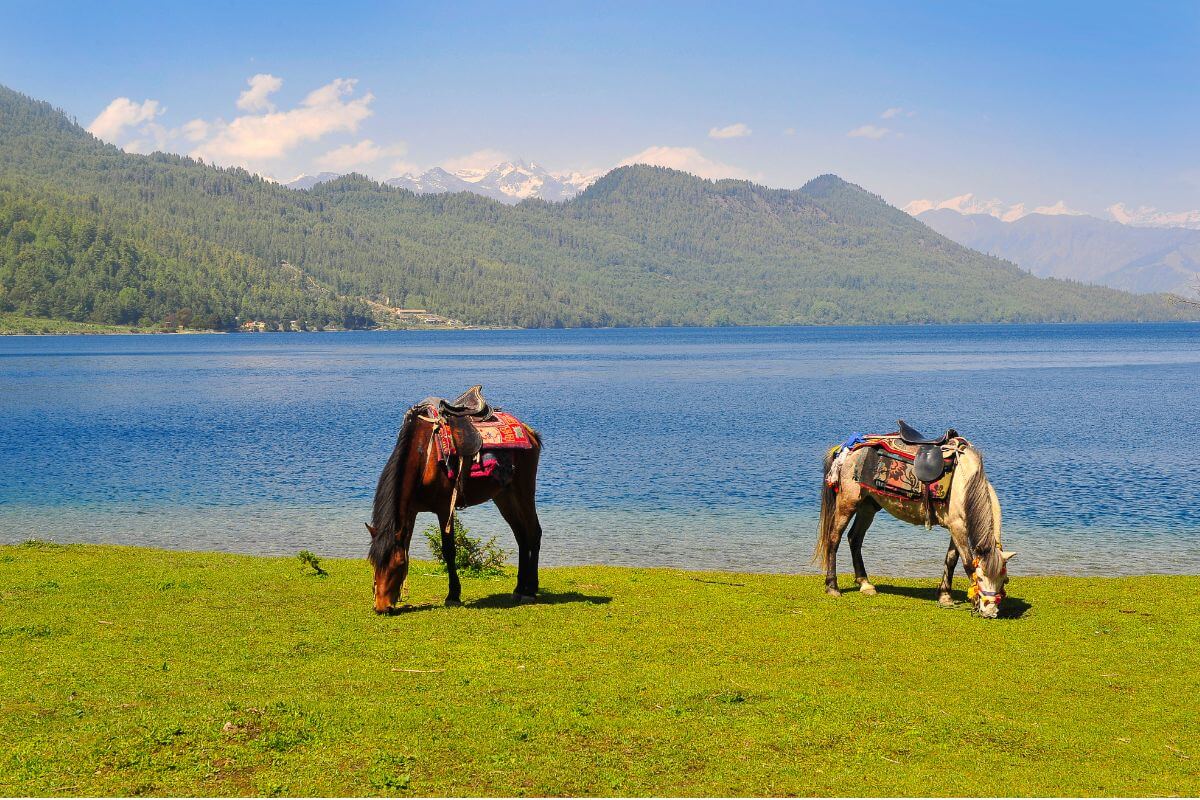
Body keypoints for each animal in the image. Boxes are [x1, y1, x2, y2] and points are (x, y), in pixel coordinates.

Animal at [366, 389, 543, 614]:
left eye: (397, 565)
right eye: (373, 563)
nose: (381, 607)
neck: (423, 457)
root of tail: (529, 433)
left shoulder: (444, 509)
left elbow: (449, 551)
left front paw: (453, 595)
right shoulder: (412, 511)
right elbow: (407, 544)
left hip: (524, 490)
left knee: (534, 532)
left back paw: (530, 590)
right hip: (504, 496)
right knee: (521, 536)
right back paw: (519, 588)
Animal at [815, 428, 1015, 618]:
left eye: (1004, 580)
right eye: (980, 578)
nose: (990, 612)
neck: (966, 483)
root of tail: (848, 448)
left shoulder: (957, 527)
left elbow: (951, 559)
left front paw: (945, 596)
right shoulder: (958, 527)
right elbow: (967, 563)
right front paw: (971, 599)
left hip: (868, 506)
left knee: (855, 539)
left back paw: (866, 584)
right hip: (848, 502)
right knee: (834, 538)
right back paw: (833, 587)